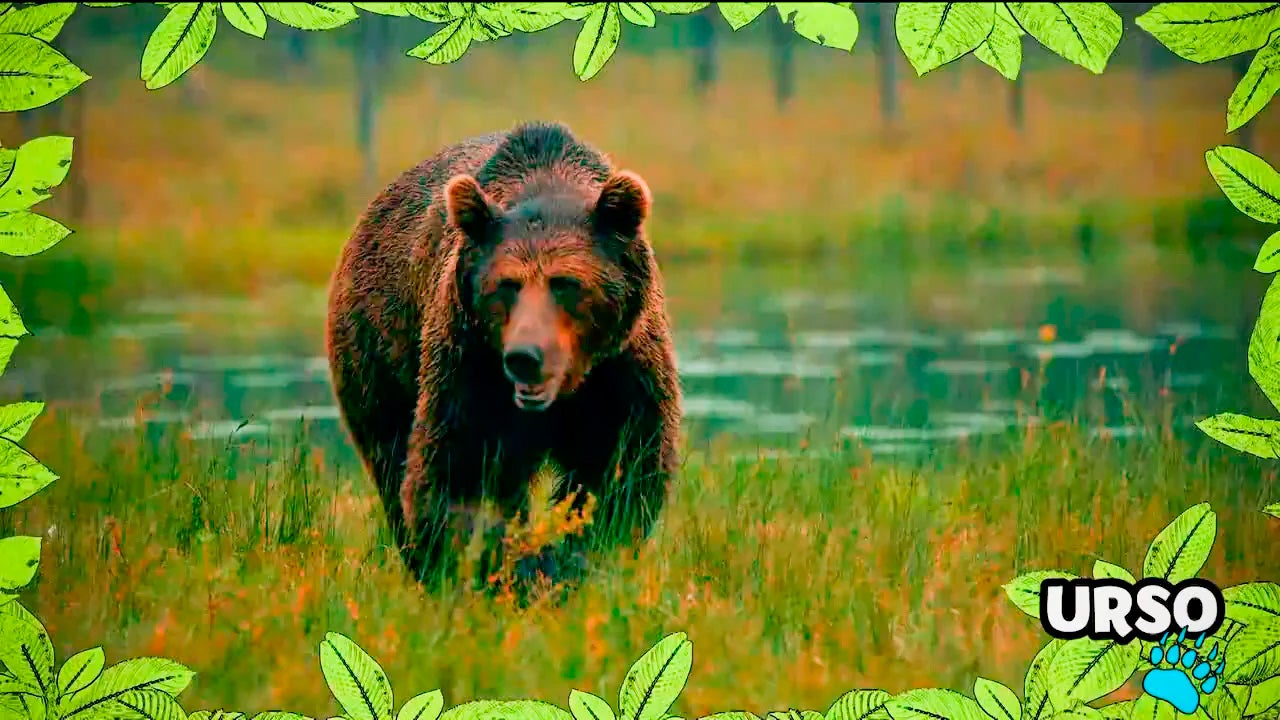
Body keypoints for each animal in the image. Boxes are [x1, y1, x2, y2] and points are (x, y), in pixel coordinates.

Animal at [324, 121, 682, 591]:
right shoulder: (470, 365)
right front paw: (507, 570)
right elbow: (463, 471)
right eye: (507, 284)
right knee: (391, 457)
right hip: (378, 350)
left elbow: (618, 468)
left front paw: (570, 561)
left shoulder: (621, 371)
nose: (525, 356)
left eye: (566, 283)